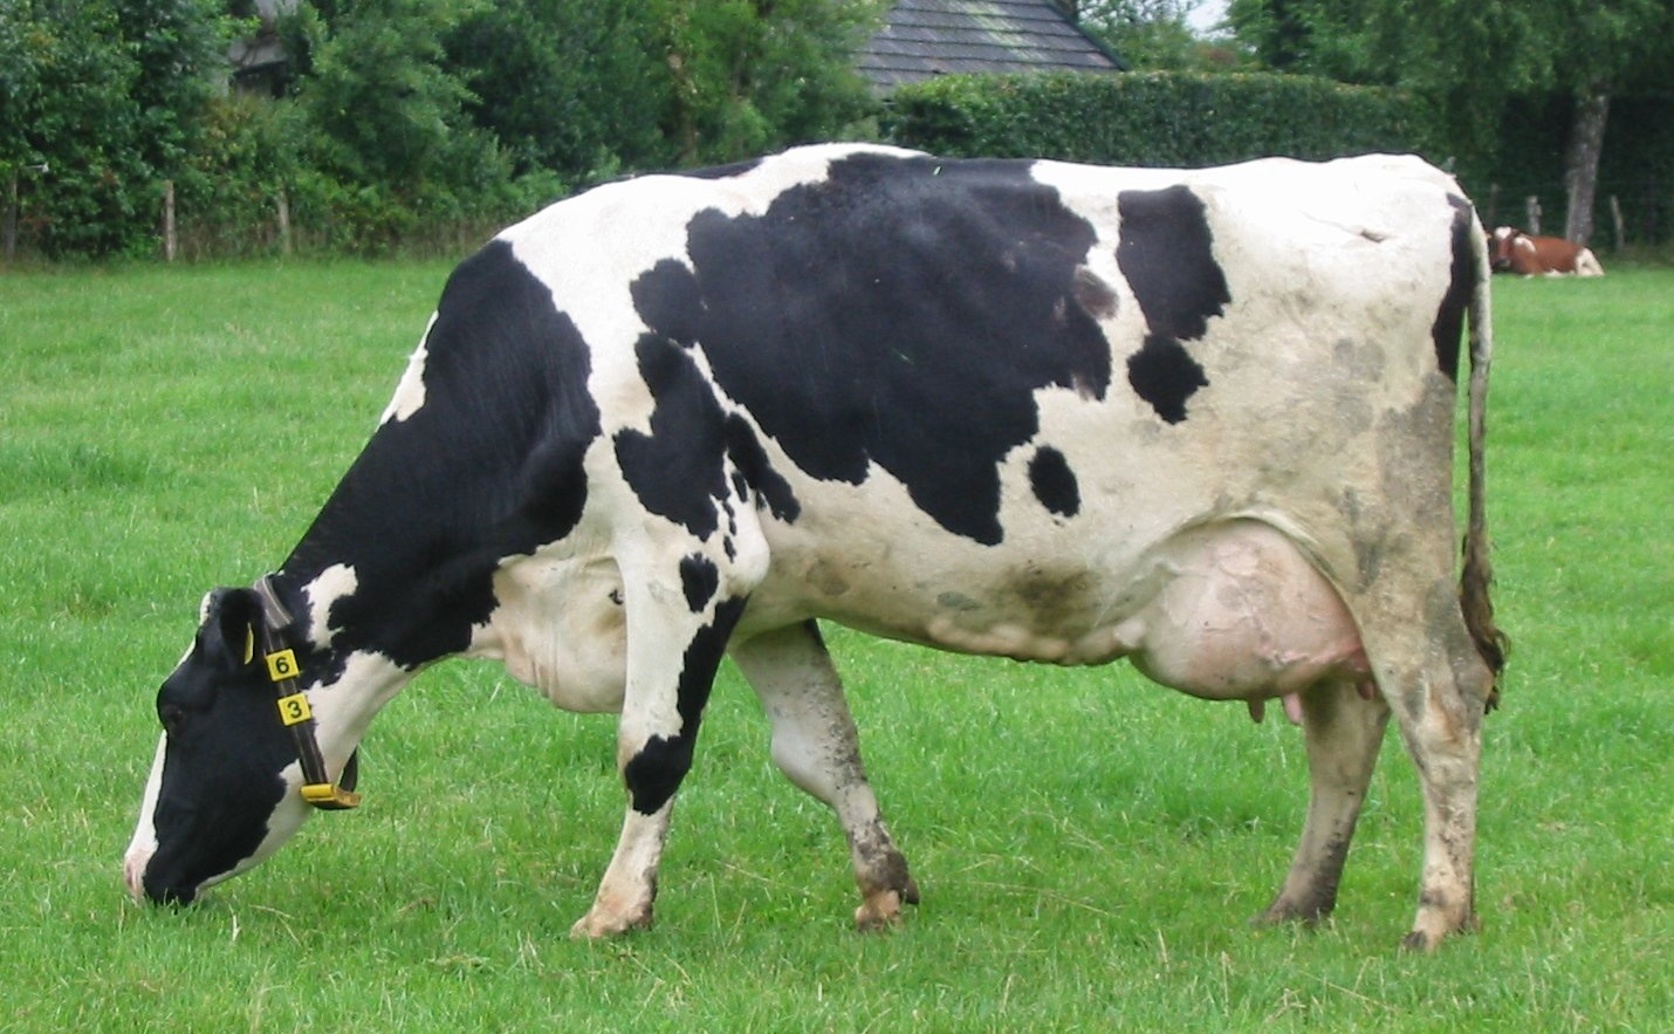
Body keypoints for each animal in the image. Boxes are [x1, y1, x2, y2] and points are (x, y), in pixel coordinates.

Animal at [124, 144, 1505, 952]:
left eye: (179, 709)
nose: (136, 870)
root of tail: (1422, 177)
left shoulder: (686, 559)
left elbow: (650, 751)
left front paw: (613, 912)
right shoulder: (769, 593)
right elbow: (821, 751)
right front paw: (884, 887)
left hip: (1384, 538)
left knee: (1439, 705)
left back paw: (1436, 917)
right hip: (1314, 574)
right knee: (1347, 726)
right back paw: (1297, 903)